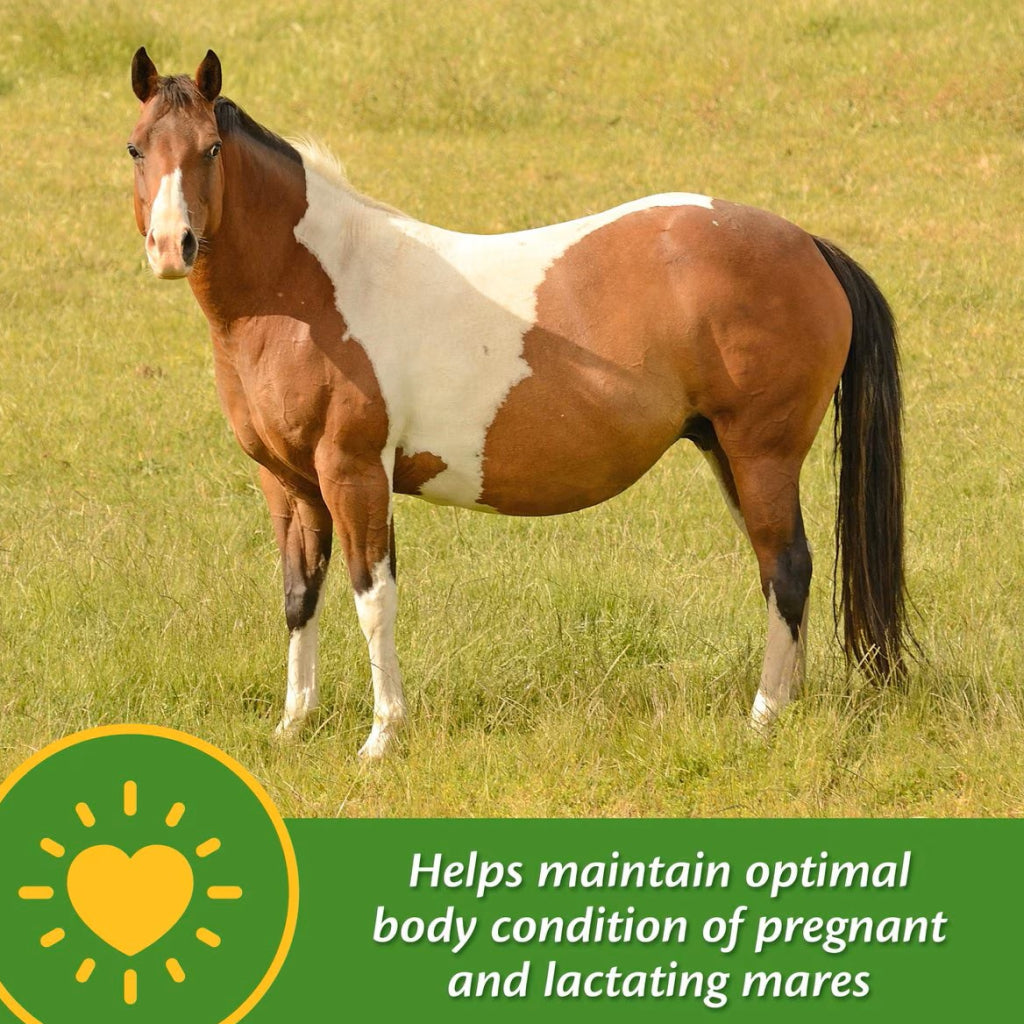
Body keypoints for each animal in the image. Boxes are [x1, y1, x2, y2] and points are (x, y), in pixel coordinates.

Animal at [127, 48, 910, 759]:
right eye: (137, 148)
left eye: (212, 147)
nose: (171, 246)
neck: (315, 285)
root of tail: (806, 244)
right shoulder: (288, 484)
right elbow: (300, 595)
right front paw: (293, 726)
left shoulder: (354, 474)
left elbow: (372, 598)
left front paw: (381, 737)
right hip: (728, 453)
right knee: (778, 572)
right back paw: (787, 705)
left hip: (761, 454)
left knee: (788, 568)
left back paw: (764, 718)